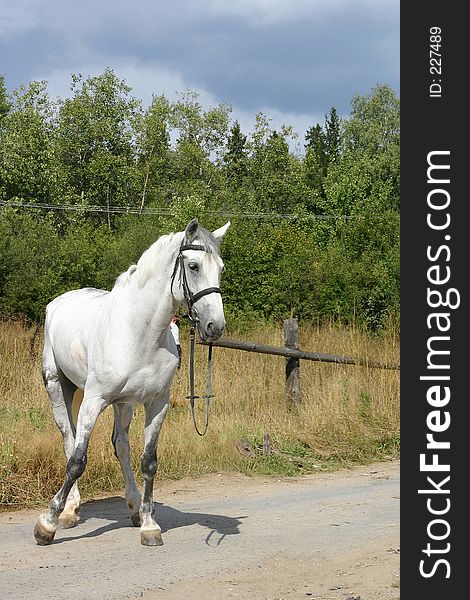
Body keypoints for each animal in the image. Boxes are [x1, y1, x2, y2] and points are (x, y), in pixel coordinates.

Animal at [34, 218, 230, 548]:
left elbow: (148, 461)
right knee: (69, 439)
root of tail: (60, 302)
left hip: (124, 404)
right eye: (193, 266)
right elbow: (77, 460)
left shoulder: (157, 403)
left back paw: (135, 506)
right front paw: (47, 524)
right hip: (59, 387)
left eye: (221, 268)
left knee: (121, 445)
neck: (139, 333)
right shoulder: (94, 400)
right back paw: (69, 511)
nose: (214, 327)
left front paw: (150, 526)